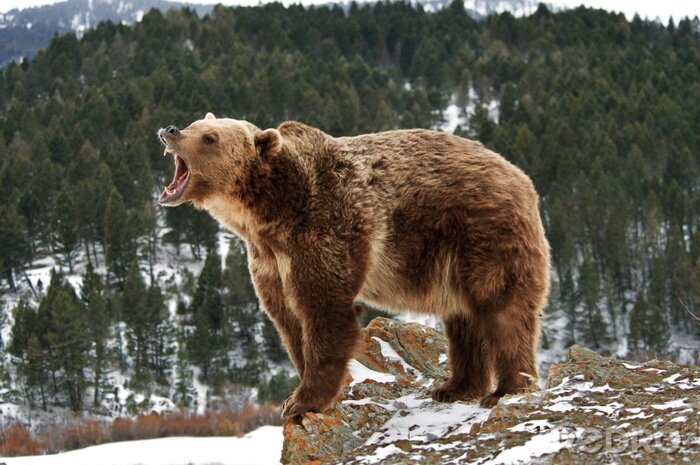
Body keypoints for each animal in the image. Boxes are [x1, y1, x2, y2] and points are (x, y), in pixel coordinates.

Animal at [157, 113, 550, 418]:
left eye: (210, 137)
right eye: (196, 124)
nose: (170, 130)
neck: (270, 214)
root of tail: (522, 177)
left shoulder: (326, 227)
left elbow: (325, 311)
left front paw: (302, 402)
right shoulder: (268, 261)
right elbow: (288, 321)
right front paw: (298, 391)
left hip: (483, 233)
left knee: (502, 308)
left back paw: (506, 389)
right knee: (464, 318)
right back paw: (455, 386)